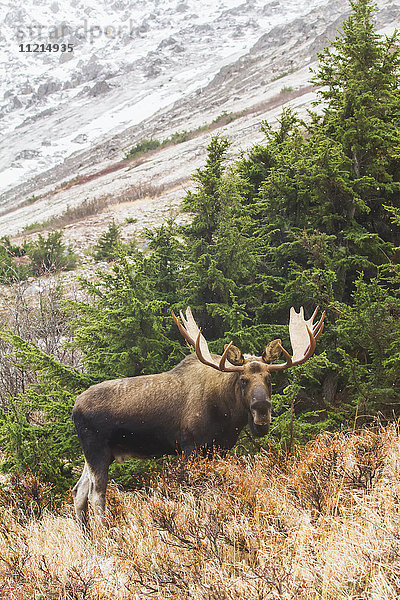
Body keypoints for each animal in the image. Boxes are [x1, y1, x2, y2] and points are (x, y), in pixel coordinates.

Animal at [72, 304, 324, 520]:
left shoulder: (218, 449)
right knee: (96, 495)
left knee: (79, 491)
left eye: (269, 378)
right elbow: (191, 492)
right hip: (97, 450)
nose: (261, 410)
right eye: (243, 380)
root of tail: (74, 408)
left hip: (98, 453)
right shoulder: (189, 447)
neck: (226, 415)